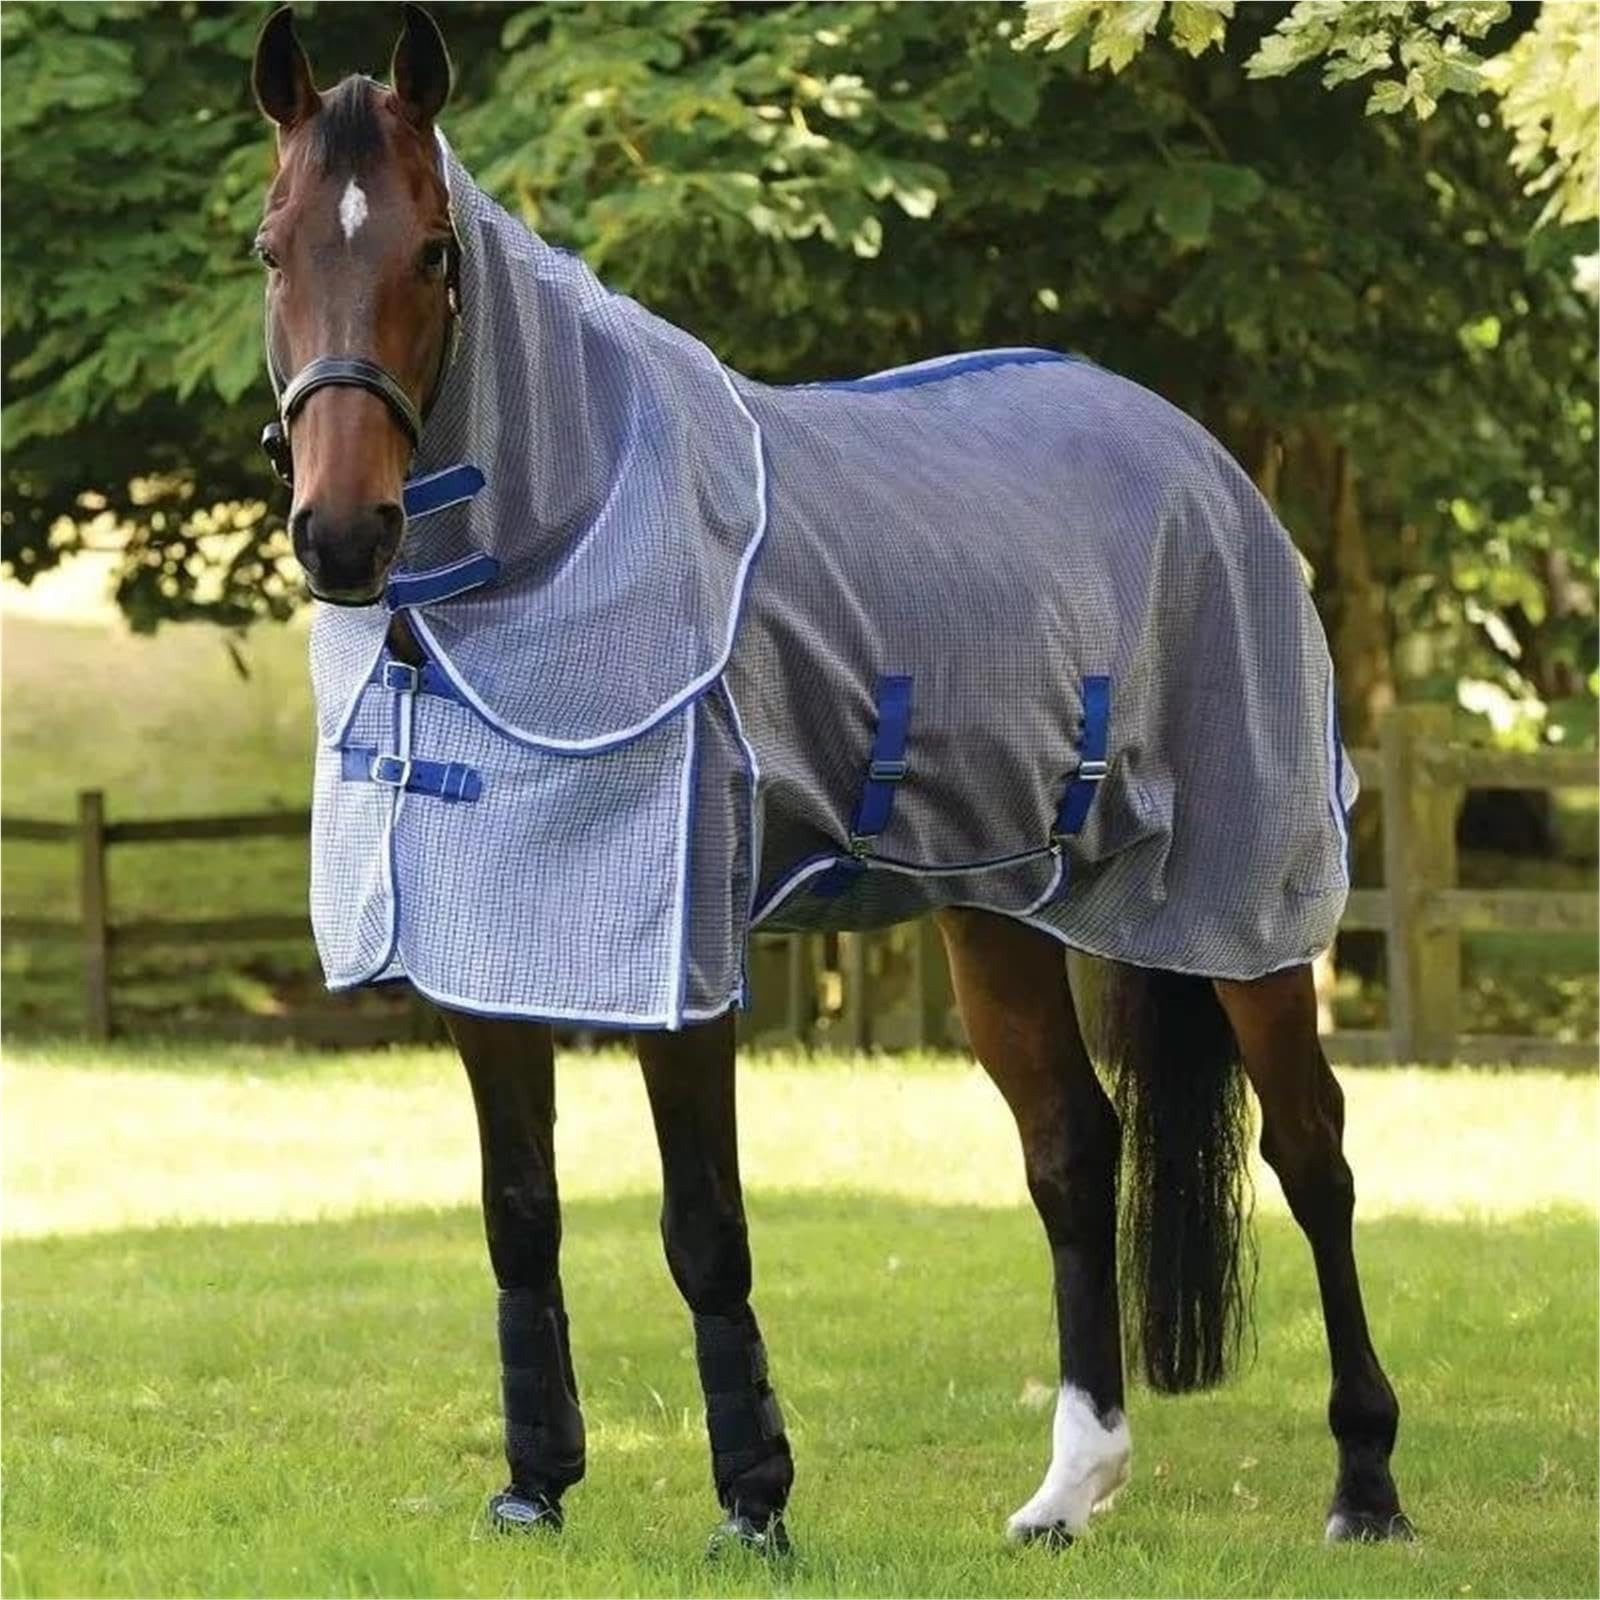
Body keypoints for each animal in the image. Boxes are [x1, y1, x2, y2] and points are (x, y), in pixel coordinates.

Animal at [250, 4, 1411, 1556]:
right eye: (273, 248)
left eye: (433, 254)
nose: (342, 535)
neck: (557, 545)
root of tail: (1206, 463)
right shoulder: (487, 957)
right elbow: (517, 1211)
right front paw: (533, 1486)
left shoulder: (680, 962)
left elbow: (703, 1228)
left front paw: (753, 1504)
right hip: (997, 909)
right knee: (1072, 1150)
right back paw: (1069, 1487)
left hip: (1247, 898)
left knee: (1313, 1154)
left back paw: (1365, 1483)